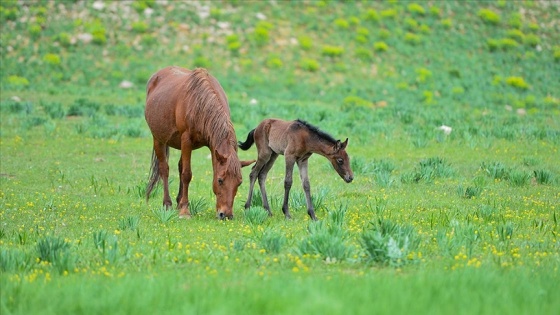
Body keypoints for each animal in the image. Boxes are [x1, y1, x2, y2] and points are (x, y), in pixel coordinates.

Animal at [144, 66, 254, 220]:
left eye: (239, 182)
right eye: (220, 180)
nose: (226, 215)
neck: (199, 104)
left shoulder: (211, 146)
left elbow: (184, 171)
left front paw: (182, 206)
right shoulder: (186, 140)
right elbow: (186, 174)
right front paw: (185, 211)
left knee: (179, 167)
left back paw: (178, 202)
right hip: (158, 139)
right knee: (164, 169)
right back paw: (167, 204)